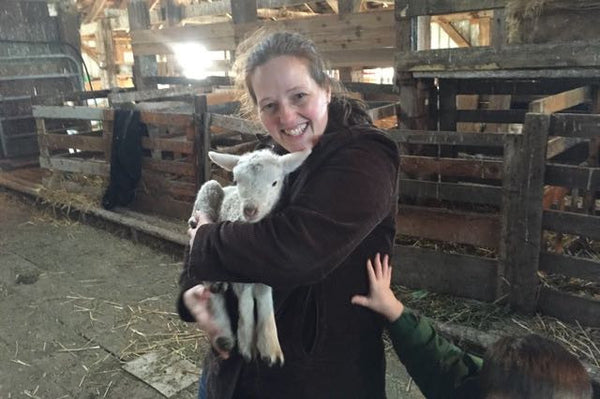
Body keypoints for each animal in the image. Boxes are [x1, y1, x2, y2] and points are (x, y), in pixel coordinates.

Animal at [186, 148, 310, 368]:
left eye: (275, 182)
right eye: (237, 180)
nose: (250, 210)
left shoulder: (268, 266)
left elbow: (265, 297)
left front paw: (269, 345)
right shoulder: (232, 264)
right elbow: (245, 300)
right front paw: (246, 343)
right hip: (209, 190)